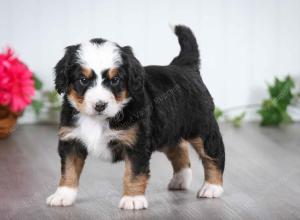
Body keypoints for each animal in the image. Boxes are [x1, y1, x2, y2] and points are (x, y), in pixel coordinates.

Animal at [46, 24, 225, 210]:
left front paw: (132, 199)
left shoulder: (137, 143)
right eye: (83, 79)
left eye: (115, 80)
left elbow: (133, 173)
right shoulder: (71, 141)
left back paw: (212, 187)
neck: (98, 120)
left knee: (214, 155)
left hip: (202, 129)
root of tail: (184, 65)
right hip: (167, 129)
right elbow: (69, 170)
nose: (100, 105)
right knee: (179, 149)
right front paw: (63, 195)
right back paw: (180, 179)